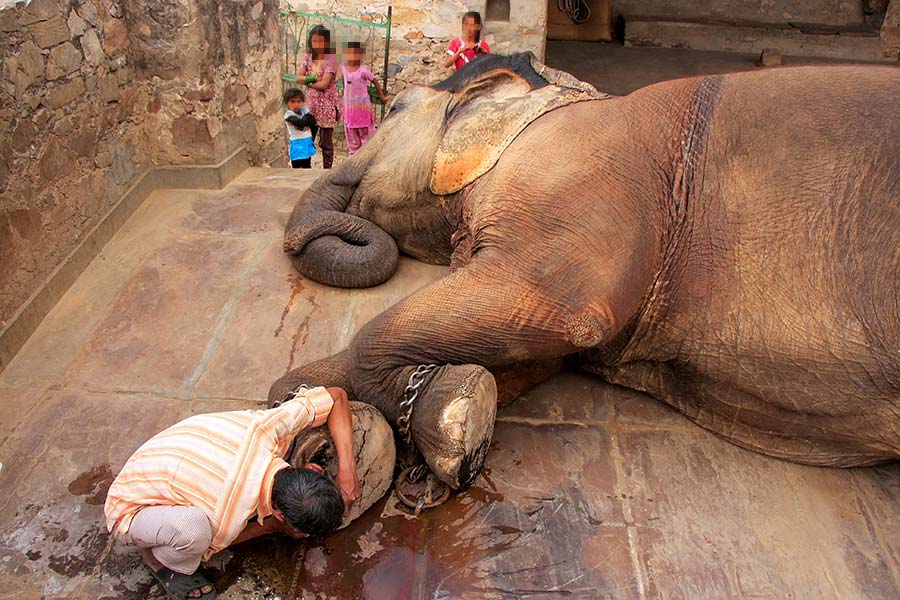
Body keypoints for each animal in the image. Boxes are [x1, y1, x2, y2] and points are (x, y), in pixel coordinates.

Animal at [269, 53, 900, 491]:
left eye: (395, 109)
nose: (298, 237)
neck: (549, 93)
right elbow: (536, 353)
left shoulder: (578, 176)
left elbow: (562, 309)